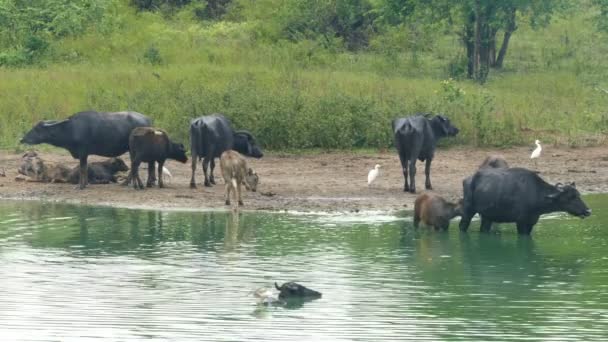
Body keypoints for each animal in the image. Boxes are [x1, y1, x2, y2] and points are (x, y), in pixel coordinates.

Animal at [19, 111, 152, 188]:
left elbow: (83, 169)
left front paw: (81, 186)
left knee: (134, 165)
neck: (71, 129)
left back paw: (128, 183)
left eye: (37, 129)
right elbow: (85, 168)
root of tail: (147, 120)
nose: (22, 139)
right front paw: (85, 183)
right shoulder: (84, 154)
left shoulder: (82, 152)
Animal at [458, 168, 592, 235]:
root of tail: (469, 179)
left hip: (487, 217)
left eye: (578, 195)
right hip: (468, 210)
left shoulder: (531, 223)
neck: (536, 194)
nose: (588, 211)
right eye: (570, 197)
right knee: (462, 225)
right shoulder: (521, 222)